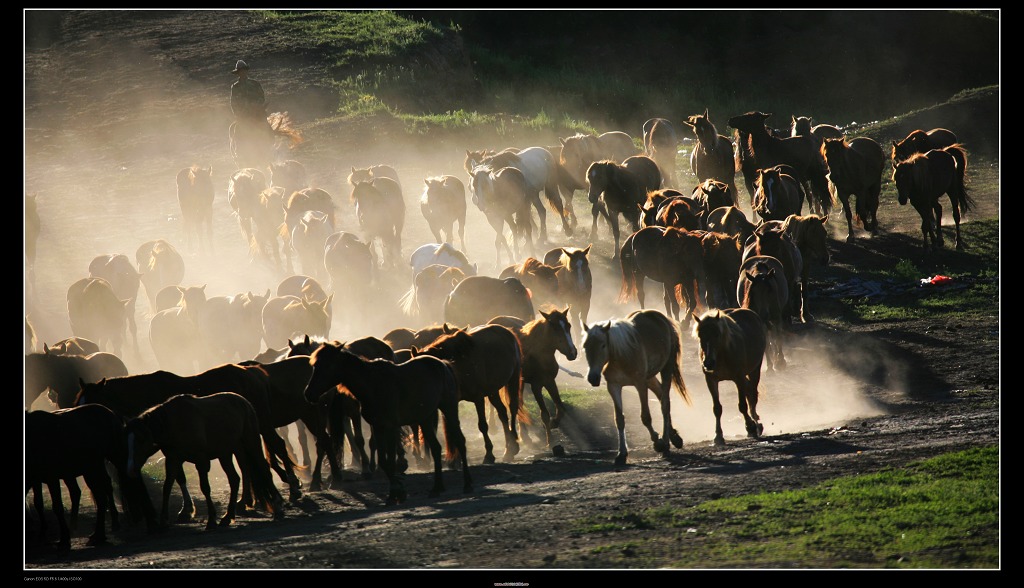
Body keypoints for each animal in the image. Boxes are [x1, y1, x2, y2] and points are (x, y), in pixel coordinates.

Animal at [25, 405, 152, 553]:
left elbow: (57, 506)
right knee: (98, 495)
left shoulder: (51, 478)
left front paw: (64, 540)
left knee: (117, 486)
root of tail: (111, 413)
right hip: (90, 470)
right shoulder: (35, 480)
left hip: (109, 460)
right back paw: (99, 533)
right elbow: (38, 502)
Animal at [125, 393, 284, 532]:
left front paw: (211, 520)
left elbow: (205, 488)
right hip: (227, 452)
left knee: (264, 469)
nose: (131, 469)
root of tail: (243, 401)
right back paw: (228, 516)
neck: (175, 424)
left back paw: (277, 507)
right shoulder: (172, 460)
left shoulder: (201, 460)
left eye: (141, 440)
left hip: (251, 441)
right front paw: (164, 522)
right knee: (235, 478)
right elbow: (167, 487)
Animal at [299, 346, 468, 508]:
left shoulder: (391, 428)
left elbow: (391, 462)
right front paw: (395, 494)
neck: (373, 384)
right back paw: (437, 488)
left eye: (327, 366)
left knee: (460, 441)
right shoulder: (378, 427)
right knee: (436, 448)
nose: (308, 393)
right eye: (315, 366)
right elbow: (383, 461)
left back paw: (468, 484)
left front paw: (397, 492)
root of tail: (443, 364)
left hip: (449, 409)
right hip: (425, 418)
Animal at [581, 309, 692, 465]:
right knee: (660, 395)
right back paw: (674, 437)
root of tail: (661, 317)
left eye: (603, 345)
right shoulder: (614, 386)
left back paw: (666, 443)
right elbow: (619, 419)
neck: (620, 356)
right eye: (585, 346)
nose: (593, 378)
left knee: (665, 404)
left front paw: (658, 442)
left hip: (666, 370)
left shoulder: (640, 384)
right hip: (650, 377)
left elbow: (645, 417)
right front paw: (622, 453)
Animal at [692, 309, 765, 446]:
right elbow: (717, 408)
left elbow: (742, 405)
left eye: (717, 334)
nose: (708, 363)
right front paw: (718, 436)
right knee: (750, 391)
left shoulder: (738, 378)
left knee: (752, 394)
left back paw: (756, 424)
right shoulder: (711, 381)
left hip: (755, 369)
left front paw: (751, 427)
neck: (721, 356)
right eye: (700, 336)